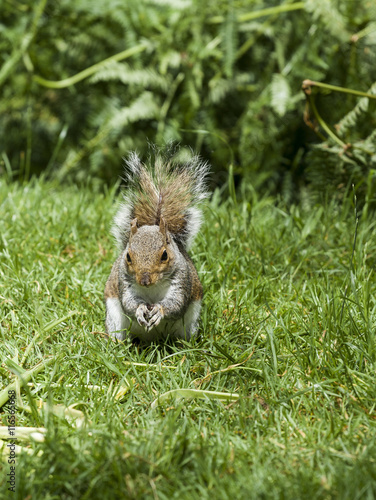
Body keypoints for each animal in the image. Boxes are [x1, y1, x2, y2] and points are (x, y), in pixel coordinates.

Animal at [104, 150, 210, 342]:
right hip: (115, 319)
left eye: (164, 255)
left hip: (189, 326)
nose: (144, 280)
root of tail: (151, 339)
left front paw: (159, 311)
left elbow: (177, 304)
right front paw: (139, 310)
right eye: (128, 256)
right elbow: (129, 302)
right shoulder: (123, 280)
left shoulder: (182, 280)